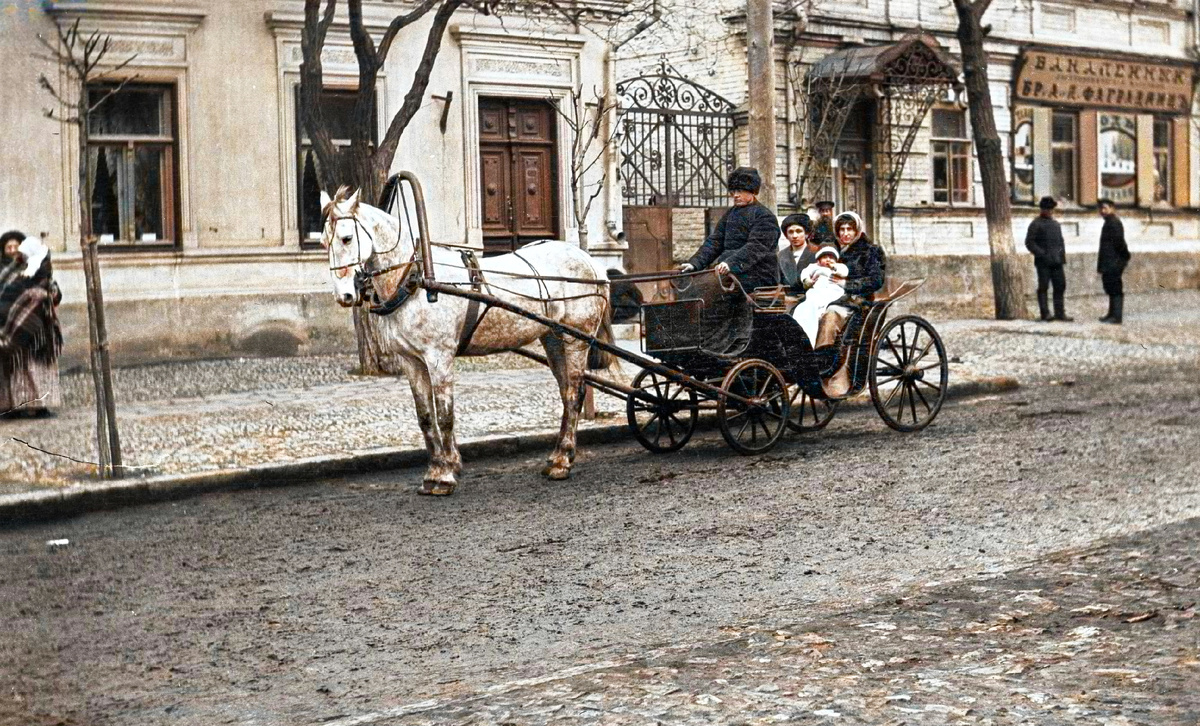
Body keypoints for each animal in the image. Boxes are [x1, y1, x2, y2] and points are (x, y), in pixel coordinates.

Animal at [321, 186, 614, 499]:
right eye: (323, 241)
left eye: (346, 238)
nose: (345, 296)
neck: (415, 278)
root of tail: (591, 262)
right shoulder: (411, 361)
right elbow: (426, 416)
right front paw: (435, 471)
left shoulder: (439, 357)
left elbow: (445, 415)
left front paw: (446, 475)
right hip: (553, 338)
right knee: (566, 391)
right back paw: (558, 456)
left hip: (576, 339)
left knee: (573, 394)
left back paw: (562, 462)